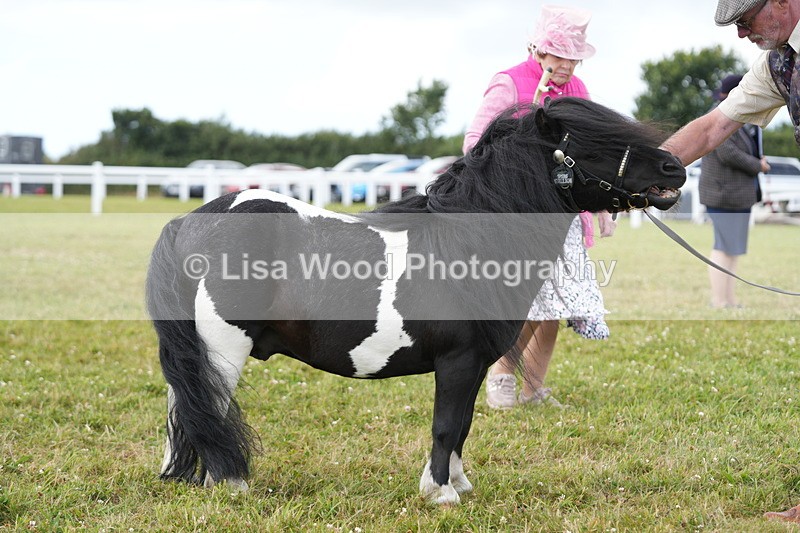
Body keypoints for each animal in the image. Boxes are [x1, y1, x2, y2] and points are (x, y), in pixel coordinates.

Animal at [146, 97, 686, 505]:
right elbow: (446, 425)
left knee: (184, 405)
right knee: (208, 407)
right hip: (223, 345)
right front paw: (441, 494)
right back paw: (230, 483)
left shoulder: (474, 363)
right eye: (598, 145)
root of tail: (190, 220)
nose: (674, 167)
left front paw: (458, 484)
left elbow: (463, 424)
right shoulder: (457, 360)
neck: (468, 247)